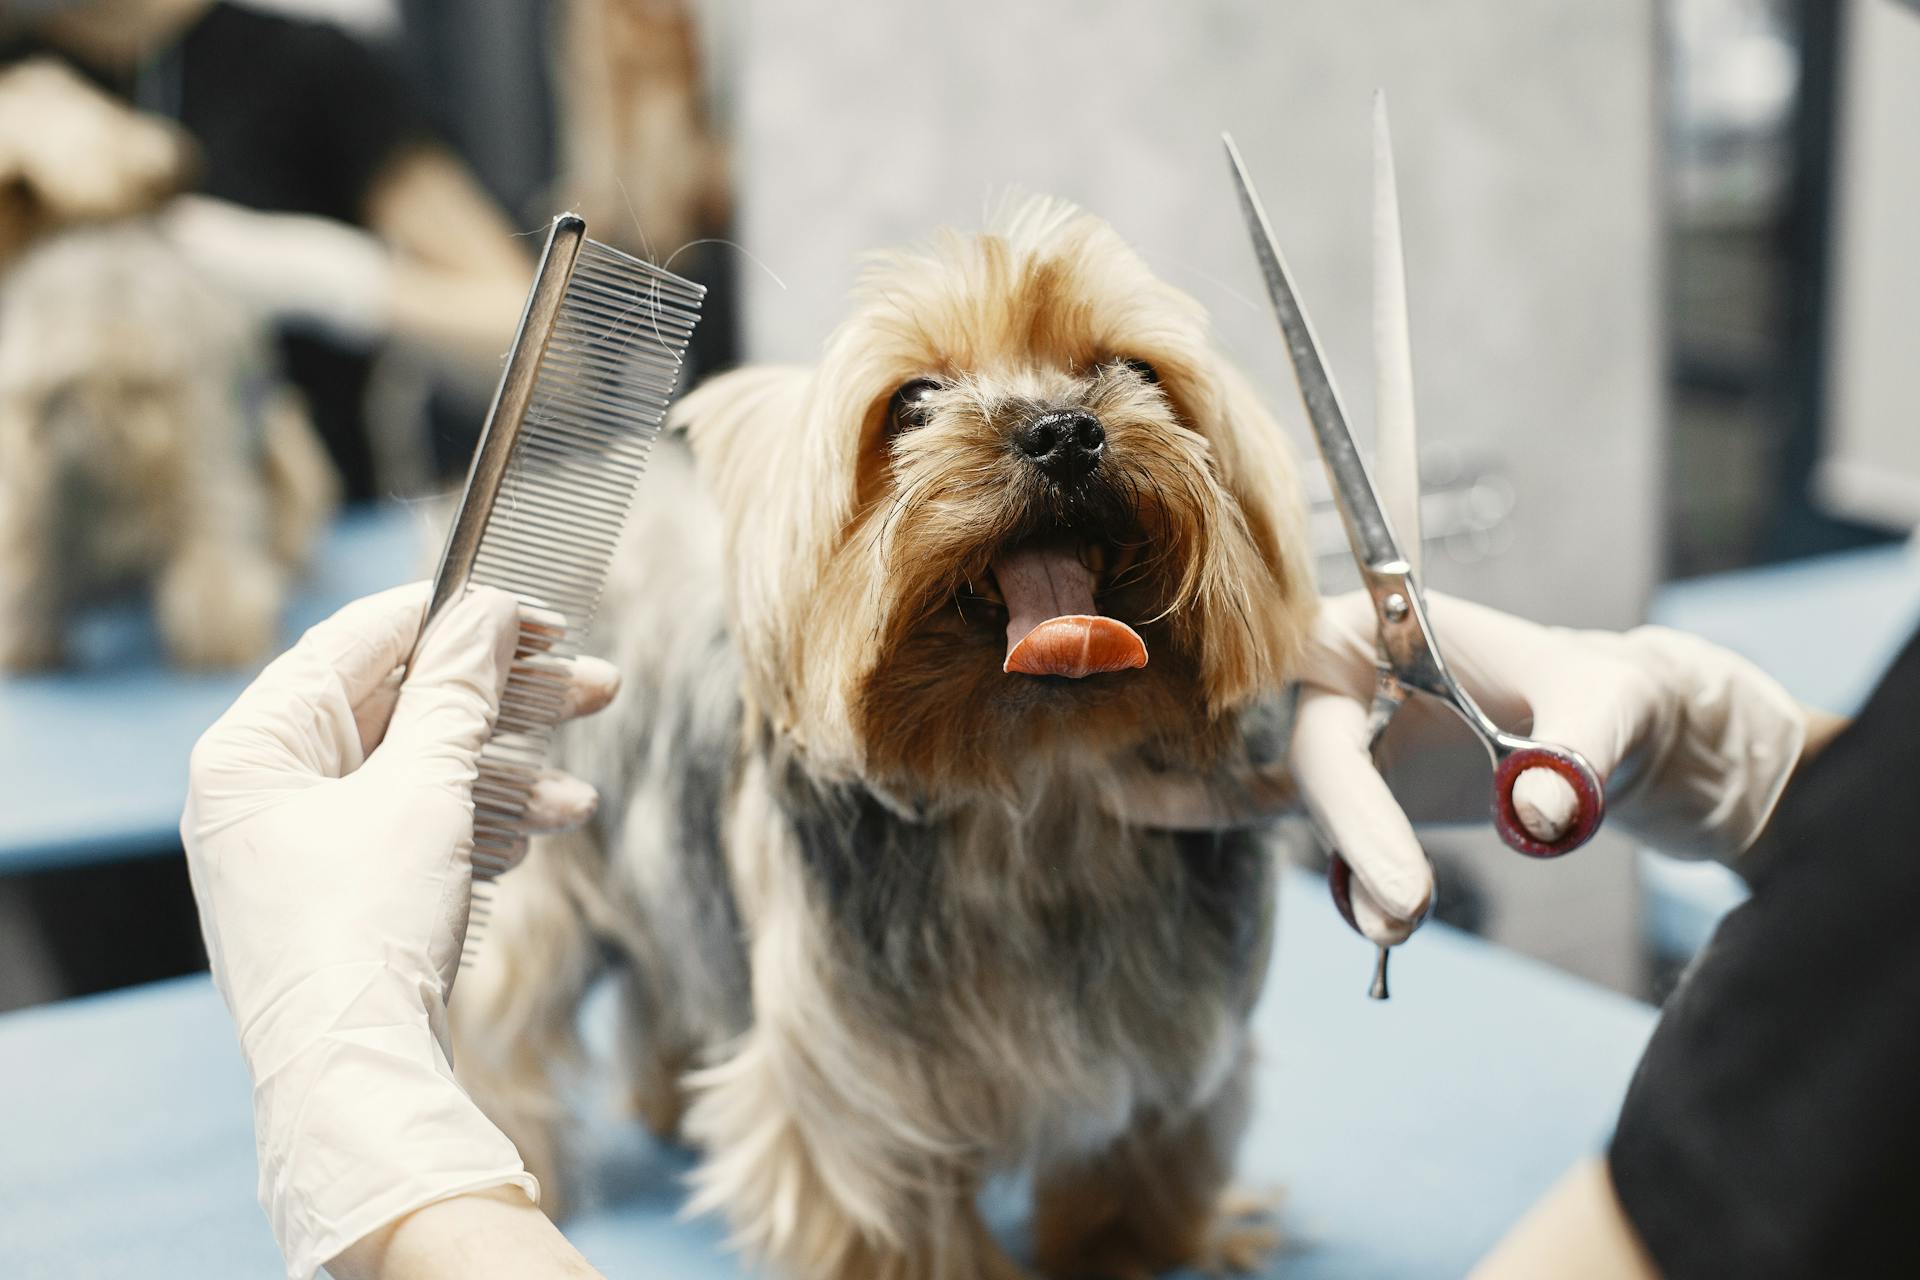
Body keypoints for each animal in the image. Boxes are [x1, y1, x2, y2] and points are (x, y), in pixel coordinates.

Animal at [455, 197, 1313, 1280]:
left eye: (1136, 371)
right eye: (912, 400)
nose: (1063, 432)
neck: (1036, 786)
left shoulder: (1179, 1050)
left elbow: (1144, 1174)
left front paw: (1143, 1251)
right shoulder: (857, 1096)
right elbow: (895, 1219)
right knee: (500, 1015)